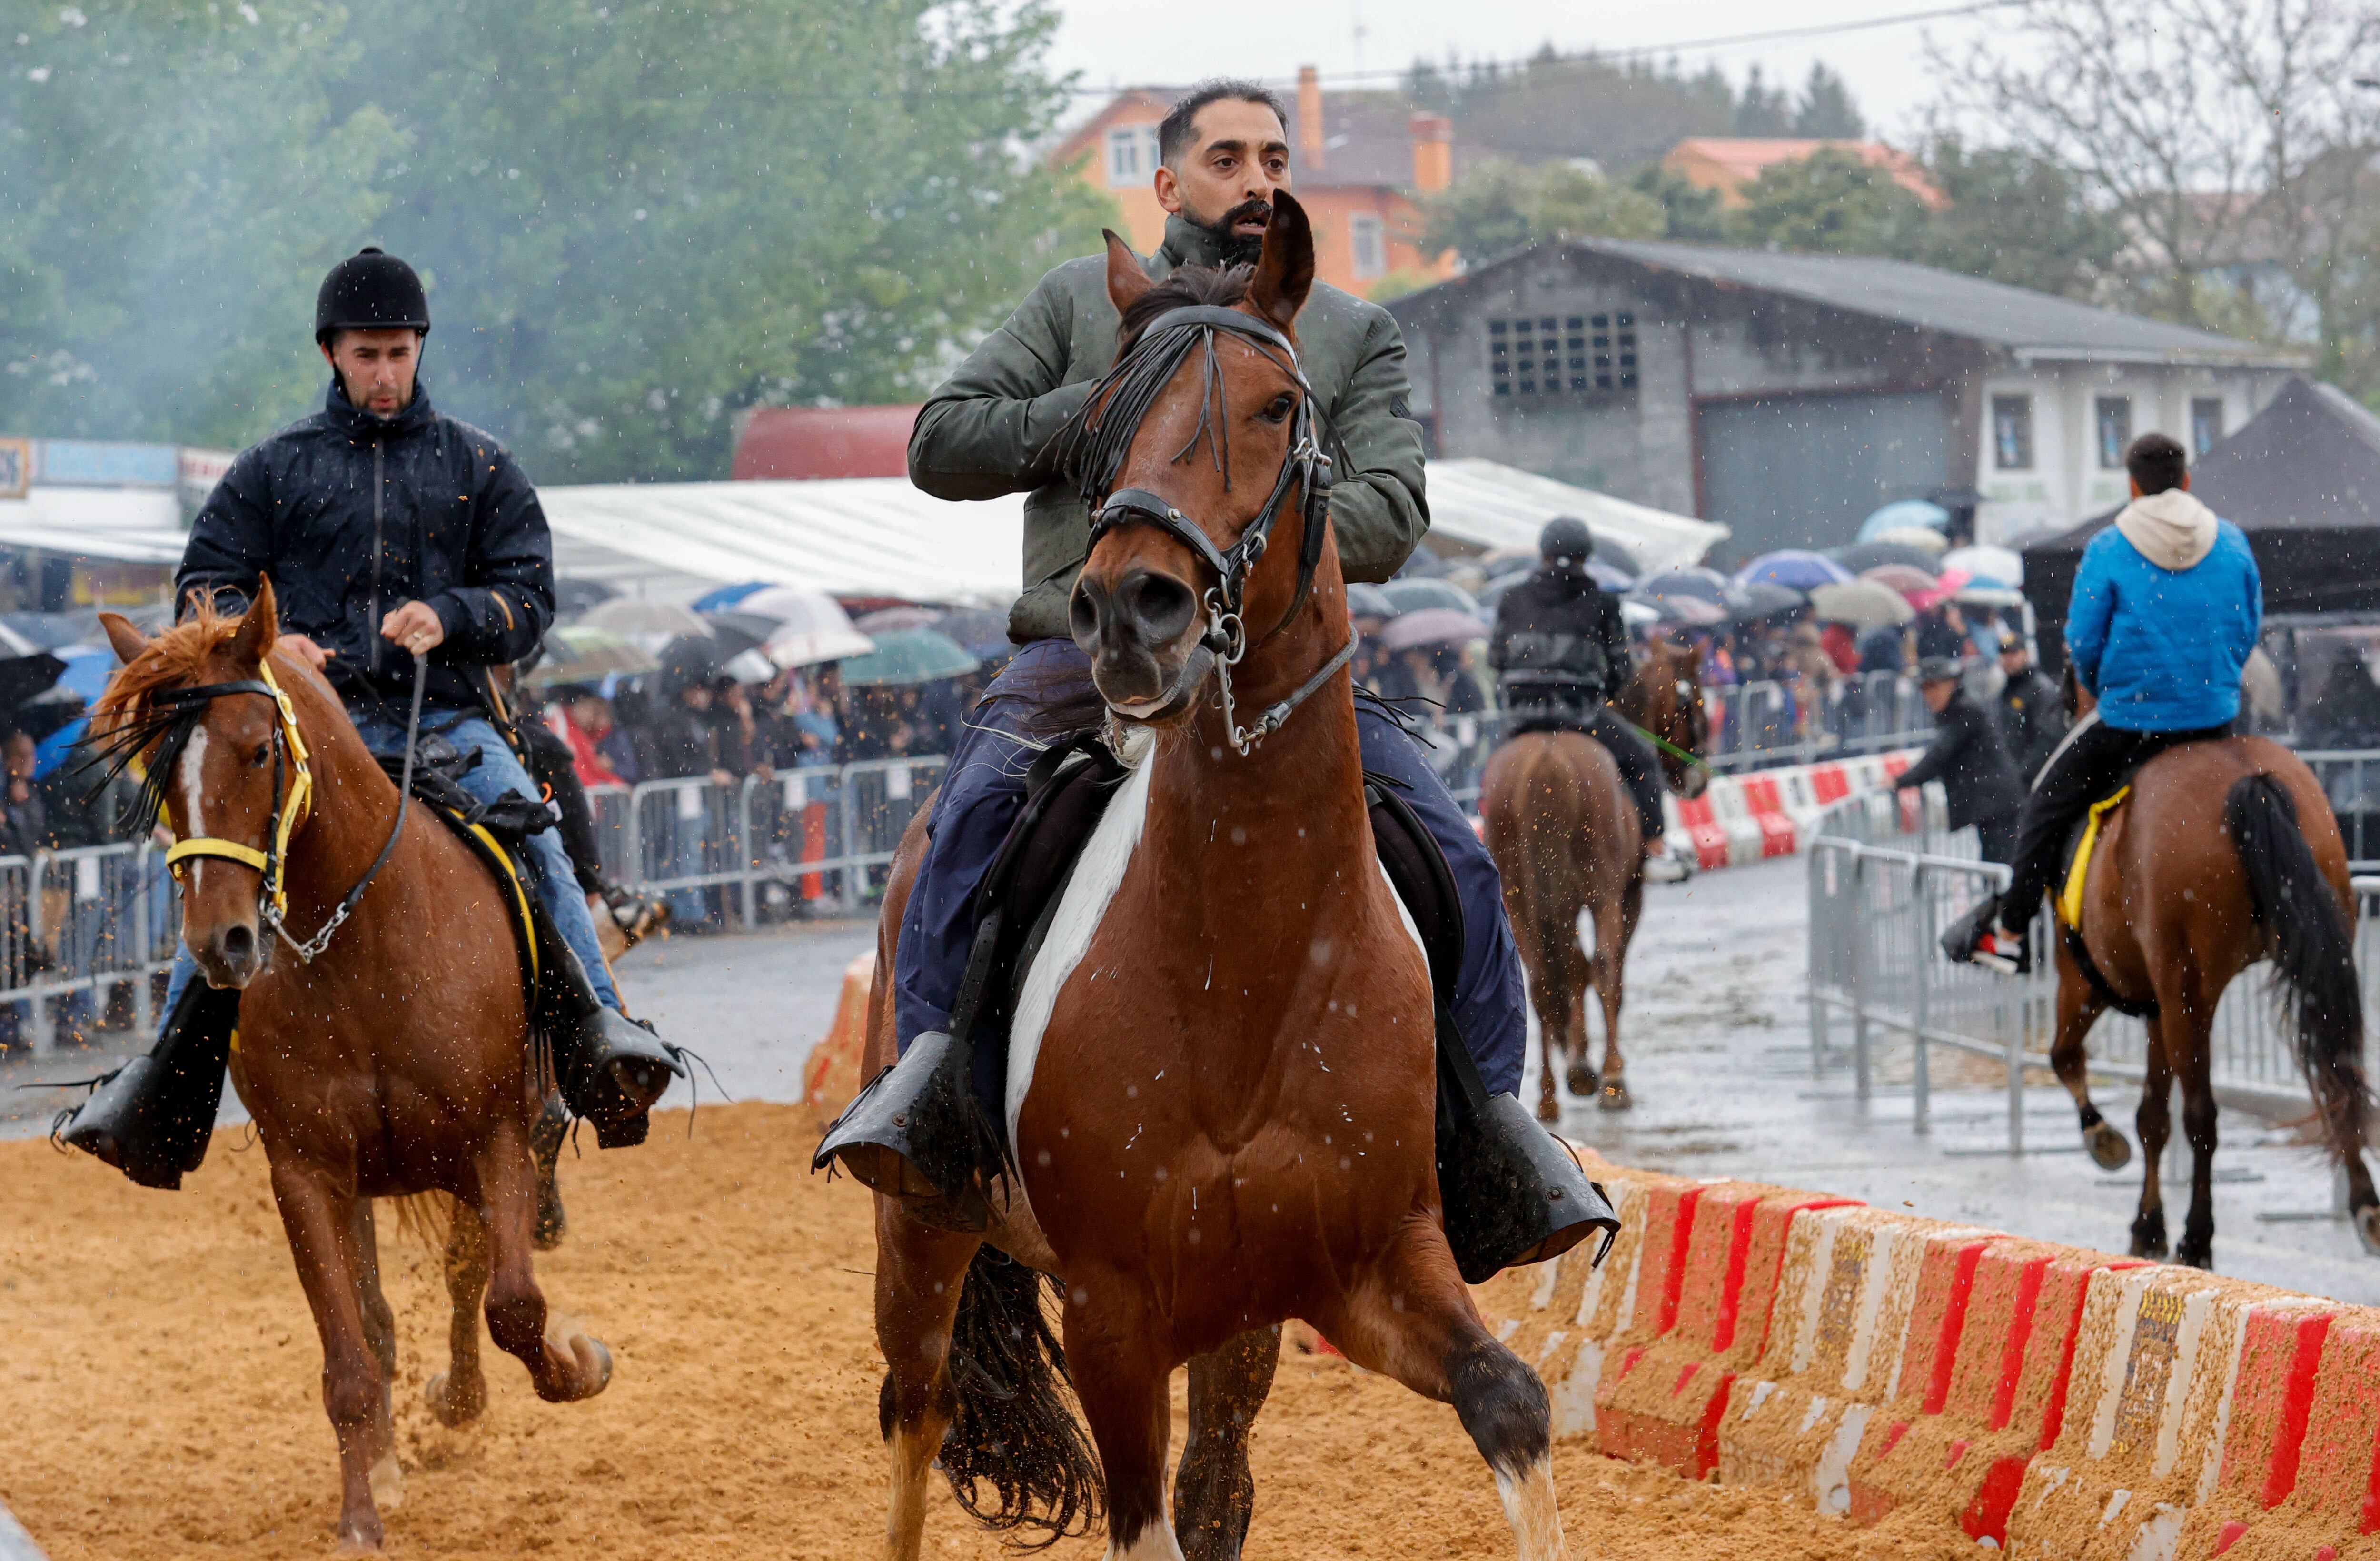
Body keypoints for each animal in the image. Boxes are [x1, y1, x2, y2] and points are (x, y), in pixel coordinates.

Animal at [93, 585, 614, 1551]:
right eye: (159, 772)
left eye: (260, 748)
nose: (221, 943)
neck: (360, 943)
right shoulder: (306, 1171)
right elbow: (348, 1355)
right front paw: (362, 1512)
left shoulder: (496, 1134)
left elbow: (512, 1298)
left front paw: (575, 1365)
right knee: (379, 1315)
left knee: (471, 1274)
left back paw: (464, 1396)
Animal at [866, 195, 1571, 1561]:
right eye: (1099, 421)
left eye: (1277, 407)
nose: (1131, 607)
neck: (1243, 963)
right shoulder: (1114, 1316)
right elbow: (1144, 1521)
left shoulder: (1366, 1269)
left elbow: (1509, 1403)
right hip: (921, 1232)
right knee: (916, 1415)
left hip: (1237, 1322)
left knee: (1215, 1483)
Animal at [1476, 633, 1704, 1123]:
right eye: (1693, 699)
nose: (1697, 780)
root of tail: (1546, 762)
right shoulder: (1627, 894)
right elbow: (1606, 974)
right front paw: (1602, 1069)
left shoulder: (1558, 904)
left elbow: (1572, 970)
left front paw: (1578, 1059)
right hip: (1601, 894)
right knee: (1601, 965)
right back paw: (1613, 1081)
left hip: (1520, 899)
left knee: (1542, 980)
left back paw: (1549, 1096)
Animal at [2047, 690, 2380, 1266]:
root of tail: (2250, 779)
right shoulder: (2156, 1004)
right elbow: (2151, 1114)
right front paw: (2147, 1224)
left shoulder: (2085, 982)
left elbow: (2068, 1059)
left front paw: (2105, 1146)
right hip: (2315, 954)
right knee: (2337, 1070)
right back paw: (2365, 1205)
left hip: (2184, 988)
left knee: (2201, 1113)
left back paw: (2197, 1238)